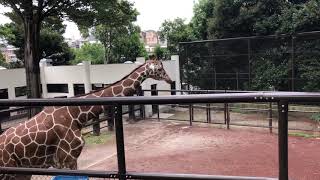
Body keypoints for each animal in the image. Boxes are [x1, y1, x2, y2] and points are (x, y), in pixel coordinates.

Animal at [0, 59, 172, 180]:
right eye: (160, 69)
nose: (170, 80)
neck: (76, 115)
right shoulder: (66, 159)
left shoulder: (67, 161)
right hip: (8, 172)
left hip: (22, 172)